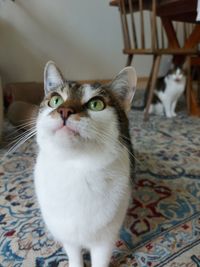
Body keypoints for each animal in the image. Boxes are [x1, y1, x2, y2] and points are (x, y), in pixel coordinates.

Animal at [34, 61, 138, 267]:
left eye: (96, 104)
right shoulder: (68, 236)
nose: (64, 111)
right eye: (55, 100)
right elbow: (74, 256)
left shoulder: (105, 240)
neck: (76, 168)